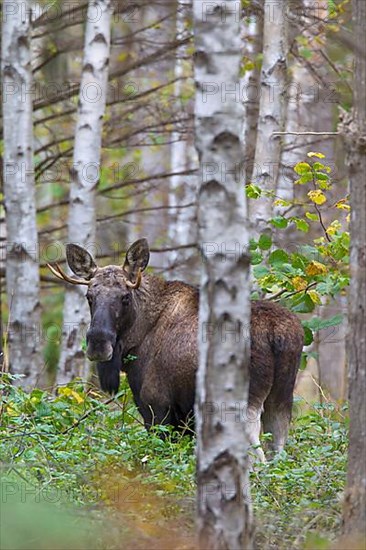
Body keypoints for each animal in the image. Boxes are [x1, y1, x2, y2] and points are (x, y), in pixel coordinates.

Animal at [48, 240, 304, 462]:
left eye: (125, 297)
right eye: (89, 297)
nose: (98, 344)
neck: (138, 338)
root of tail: (277, 333)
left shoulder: (156, 407)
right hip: (280, 400)